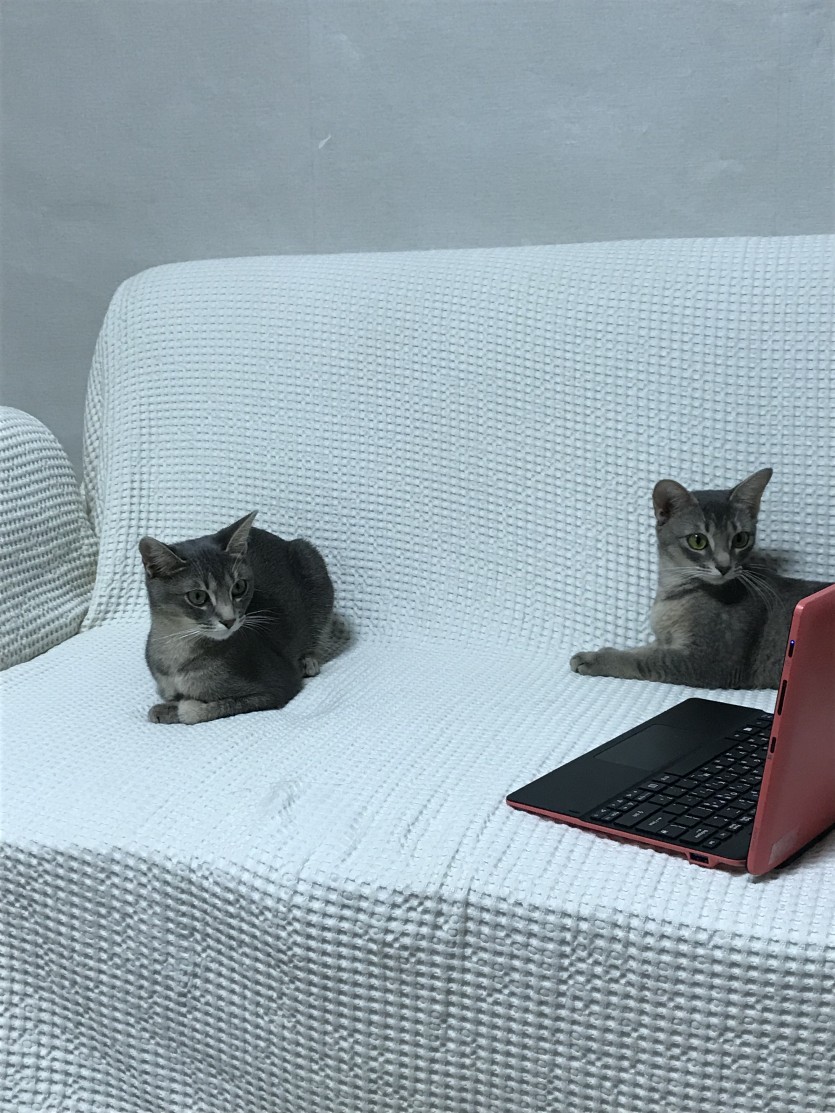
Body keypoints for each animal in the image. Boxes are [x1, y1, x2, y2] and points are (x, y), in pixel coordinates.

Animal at [139, 512, 334, 724]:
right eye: (198, 596)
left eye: (239, 586)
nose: (229, 620)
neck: (178, 646)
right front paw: (165, 708)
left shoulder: (278, 686)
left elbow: (204, 709)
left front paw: (181, 708)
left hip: (311, 560)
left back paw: (309, 661)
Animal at [570, 468, 831, 689]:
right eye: (698, 540)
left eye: (740, 539)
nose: (724, 566)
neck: (672, 593)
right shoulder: (667, 641)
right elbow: (642, 650)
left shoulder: (706, 661)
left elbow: (645, 660)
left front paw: (594, 658)